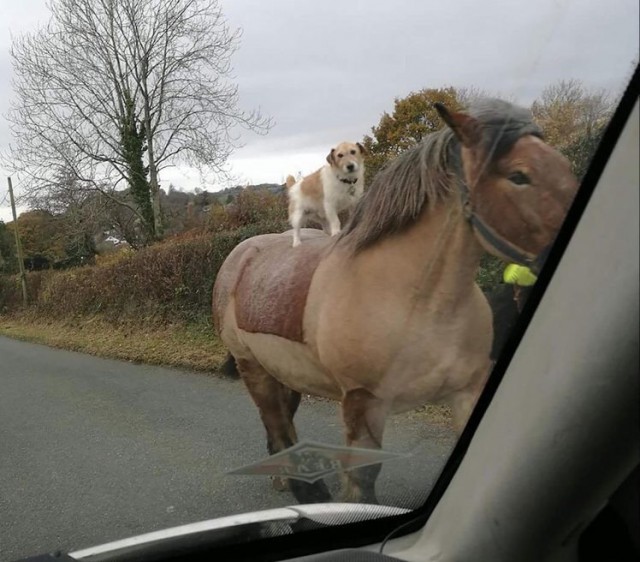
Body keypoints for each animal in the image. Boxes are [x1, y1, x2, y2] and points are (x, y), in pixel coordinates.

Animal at [212, 98, 576, 506]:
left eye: (562, 164)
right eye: (518, 176)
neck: (414, 300)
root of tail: (240, 254)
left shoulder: (467, 391)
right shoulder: (363, 402)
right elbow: (362, 481)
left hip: (282, 373)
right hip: (254, 369)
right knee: (278, 425)